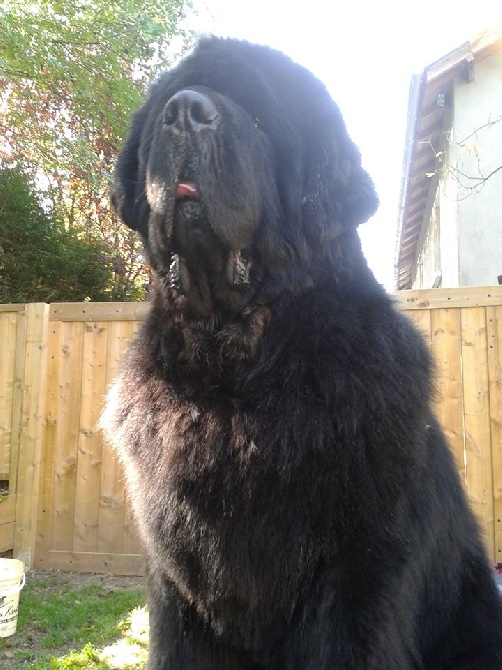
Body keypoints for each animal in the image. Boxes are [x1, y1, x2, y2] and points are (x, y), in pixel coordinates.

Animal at [102, 38, 502, 670]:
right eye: (170, 102)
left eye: (259, 119)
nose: (184, 112)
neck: (236, 369)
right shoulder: (179, 587)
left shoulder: (352, 582)